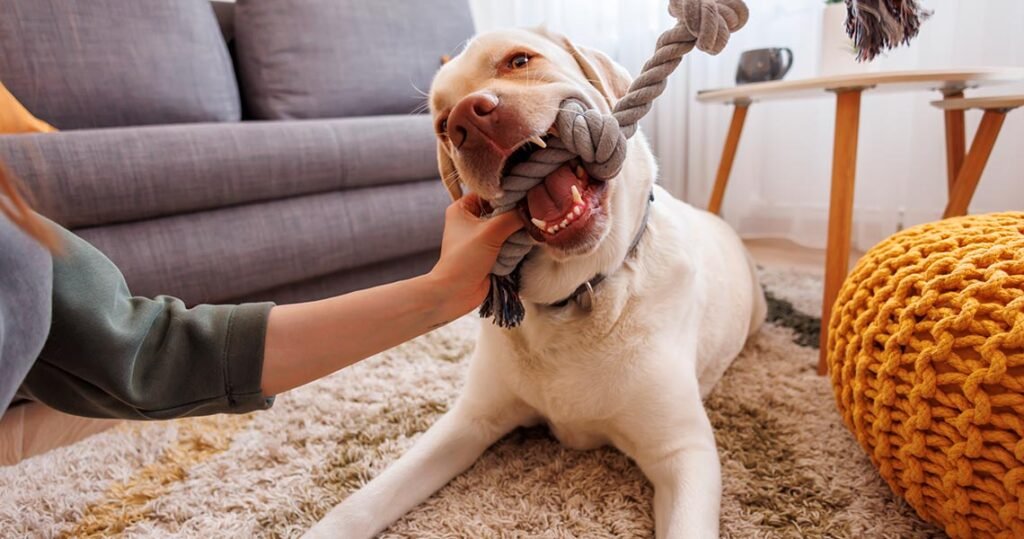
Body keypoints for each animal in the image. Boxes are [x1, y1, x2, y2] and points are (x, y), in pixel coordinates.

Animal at [307, 27, 765, 536]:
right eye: (443, 126)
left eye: (519, 61)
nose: (467, 119)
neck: (580, 293)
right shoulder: (470, 419)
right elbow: (365, 500)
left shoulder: (684, 453)